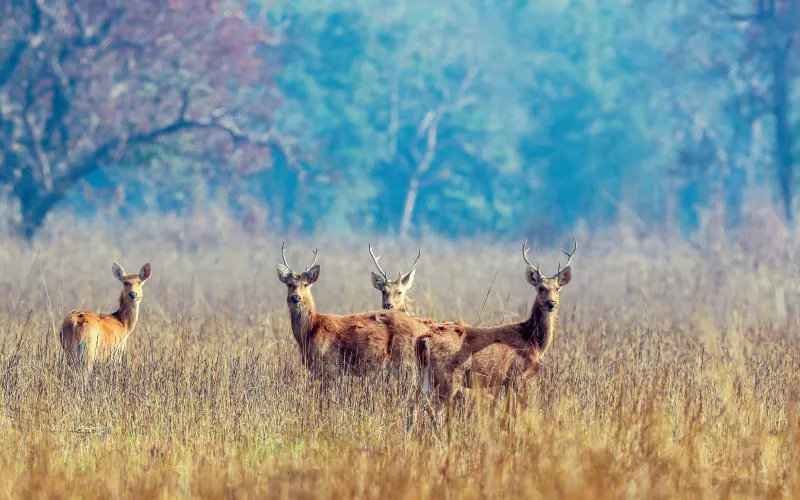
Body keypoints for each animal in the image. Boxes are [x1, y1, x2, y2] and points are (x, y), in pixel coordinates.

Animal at [277, 243, 432, 381]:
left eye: (305, 284)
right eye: (289, 284)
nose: (295, 297)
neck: (309, 331)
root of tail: (422, 328)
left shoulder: (330, 365)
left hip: (406, 360)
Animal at [416, 237, 577, 404]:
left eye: (557, 288)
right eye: (540, 288)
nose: (551, 303)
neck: (533, 340)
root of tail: (425, 339)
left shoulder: (507, 380)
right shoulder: (517, 375)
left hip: (424, 373)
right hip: (450, 375)